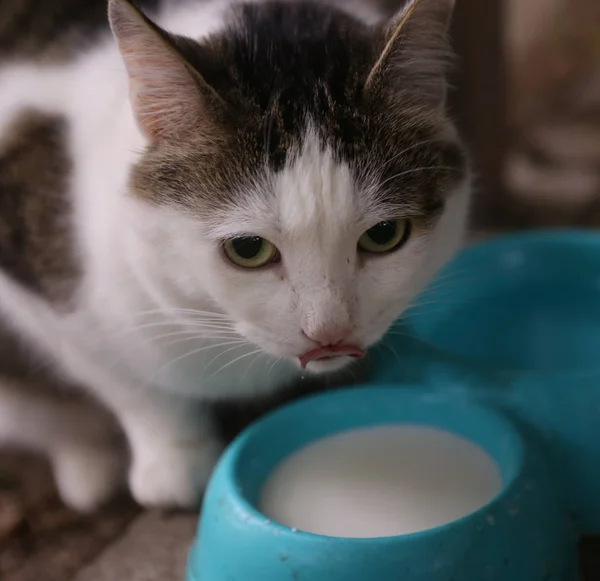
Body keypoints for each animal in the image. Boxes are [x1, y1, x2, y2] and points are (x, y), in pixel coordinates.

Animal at [0, 0, 472, 510]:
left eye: (385, 235)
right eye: (248, 249)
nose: (328, 332)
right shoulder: (46, 295)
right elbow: (126, 382)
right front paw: (175, 460)